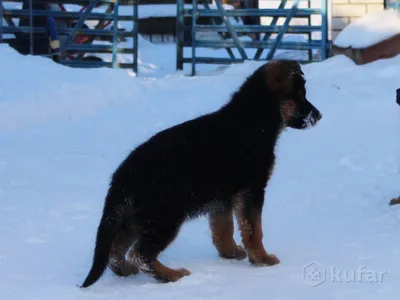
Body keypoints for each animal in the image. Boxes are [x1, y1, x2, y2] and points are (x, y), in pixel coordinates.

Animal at [80, 59, 322, 288]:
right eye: (301, 95)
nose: (319, 116)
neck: (254, 120)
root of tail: (122, 176)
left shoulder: (222, 199)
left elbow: (223, 229)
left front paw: (230, 254)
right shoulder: (252, 190)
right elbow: (254, 229)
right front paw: (262, 259)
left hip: (136, 218)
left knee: (116, 250)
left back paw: (126, 270)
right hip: (165, 217)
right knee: (141, 254)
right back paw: (172, 275)